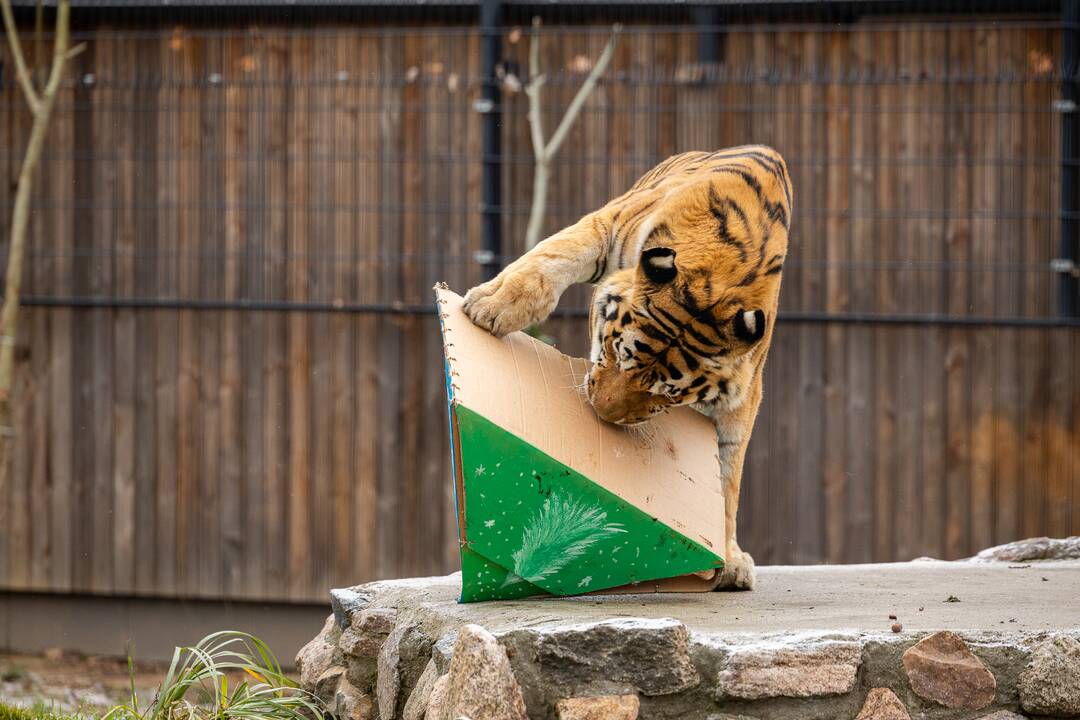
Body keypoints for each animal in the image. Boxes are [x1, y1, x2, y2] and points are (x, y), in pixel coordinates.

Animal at [460, 146, 790, 591]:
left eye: (666, 393)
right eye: (617, 353)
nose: (603, 414)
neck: (716, 280)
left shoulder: (742, 393)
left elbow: (726, 478)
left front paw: (727, 560)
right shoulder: (605, 228)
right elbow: (551, 257)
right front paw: (489, 307)